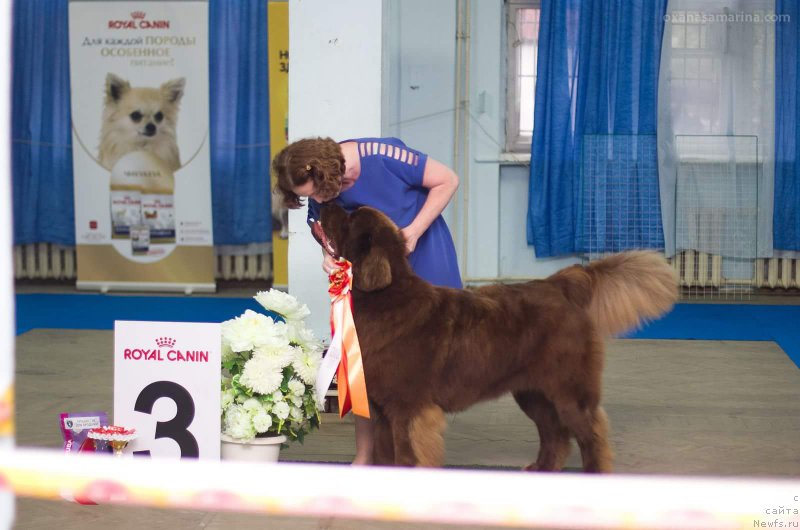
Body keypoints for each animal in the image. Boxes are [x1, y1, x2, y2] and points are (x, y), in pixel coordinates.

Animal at [322, 202, 680, 470]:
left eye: (350, 218)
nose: (328, 203)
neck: (385, 298)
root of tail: (561, 284)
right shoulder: (384, 408)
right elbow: (385, 451)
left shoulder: (409, 407)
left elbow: (407, 453)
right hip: (533, 392)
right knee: (555, 434)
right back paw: (540, 469)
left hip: (569, 390)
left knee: (592, 433)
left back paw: (594, 473)